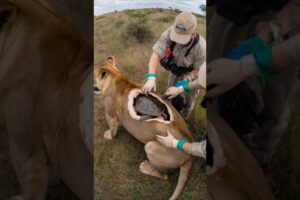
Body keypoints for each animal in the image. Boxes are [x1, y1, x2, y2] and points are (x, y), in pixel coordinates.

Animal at [92, 56, 193, 200]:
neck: (118, 78)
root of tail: (189, 156)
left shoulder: (110, 112)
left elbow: (112, 127)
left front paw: (109, 136)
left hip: (150, 146)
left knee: (164, 175)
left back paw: (145, 167)